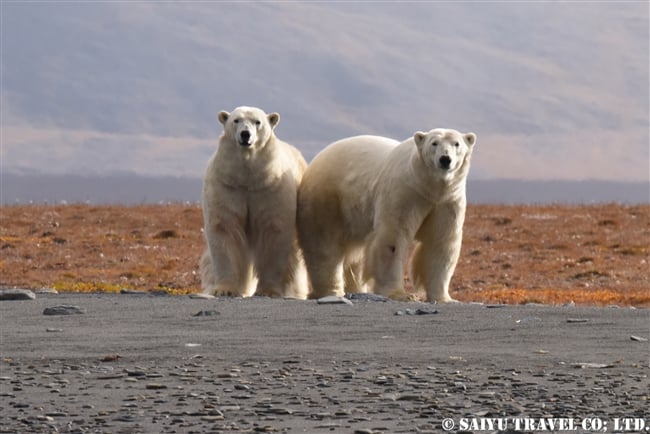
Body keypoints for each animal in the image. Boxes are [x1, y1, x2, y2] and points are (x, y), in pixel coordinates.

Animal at [199, 107, 308, 300]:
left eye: (258, 122)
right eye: (236, 120)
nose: (245, 134)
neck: (248, 178)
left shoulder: (270, 187)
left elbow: (274, 231)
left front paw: (268, 290)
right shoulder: (227, 186)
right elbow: (224, 228)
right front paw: (225, 289)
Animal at [296, 129, 474, 302]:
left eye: (457, 143)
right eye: (434, 143)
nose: (445, 159)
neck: (427, 186)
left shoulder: (447, 200)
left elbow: (440, 243)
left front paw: (445, 298)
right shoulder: (404, 192)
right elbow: (393, 239)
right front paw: (401, 294)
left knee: (355, 257)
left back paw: (356, 289)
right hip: (328, 199)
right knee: (323, 245)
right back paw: (330, 291)